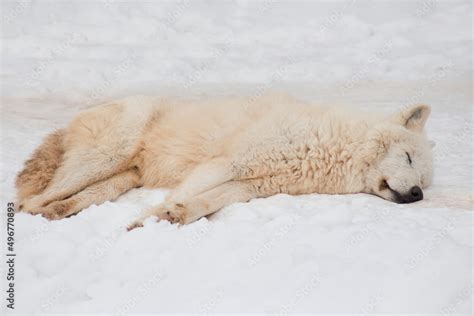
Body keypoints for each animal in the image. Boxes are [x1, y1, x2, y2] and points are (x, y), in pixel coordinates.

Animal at [15, 92, 434, 228]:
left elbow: (203, 203)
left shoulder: (248, 186)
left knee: (68, 200)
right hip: (104, 157)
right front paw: (146, 223)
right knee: (26, 201)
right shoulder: (227, 164)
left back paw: (57, 213)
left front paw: (173, 216)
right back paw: (35, 214)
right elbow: (183, 196)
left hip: (120, 177)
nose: (417, 195)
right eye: (408, 157)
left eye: (425, 184)